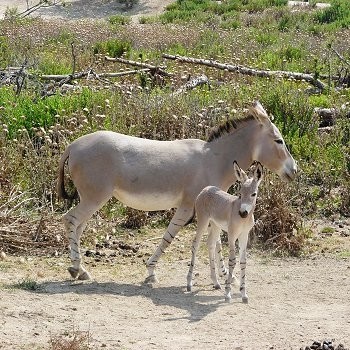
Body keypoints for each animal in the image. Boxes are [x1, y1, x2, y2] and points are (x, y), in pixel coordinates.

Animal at [186, 163, 262, 302]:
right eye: (240, 193)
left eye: (253, 194)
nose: (243, 213)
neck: (243, 219)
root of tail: (206, 189)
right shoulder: (232, 235)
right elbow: (232, 260)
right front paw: (228, 294)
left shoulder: (244, 235)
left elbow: (243, 261)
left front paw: (244, 294)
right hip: (203, 222)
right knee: (195, 244)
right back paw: (189, 283)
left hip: (216, 225)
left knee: (210, 243)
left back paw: (216, 282)